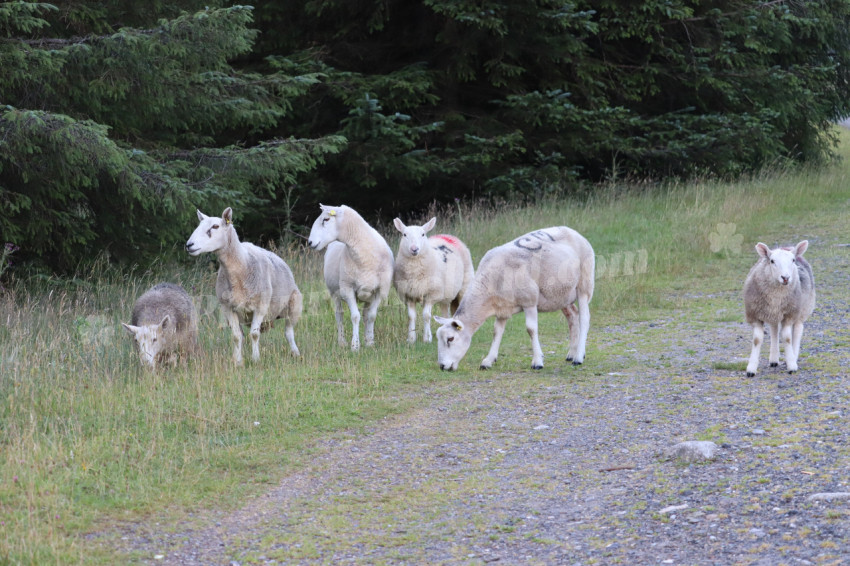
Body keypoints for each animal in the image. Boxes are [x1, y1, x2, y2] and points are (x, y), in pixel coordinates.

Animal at [185, 207, 302, 366]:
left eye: (215, 226)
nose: (189, 245)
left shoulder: (261, 306)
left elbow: (254, 334)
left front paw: (256, 359)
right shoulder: (227, 308)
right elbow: (236, 336)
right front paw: (237, 361)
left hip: (294, 304)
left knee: (289, 331)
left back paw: (295, 352)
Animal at [307, 204, 394, 351]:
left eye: (326, 219)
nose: (309, 242)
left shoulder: (379, 290)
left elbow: (371, 316)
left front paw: (370, 342)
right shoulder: (347, 289)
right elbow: (355, 317)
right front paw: (355, 345)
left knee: (365, 315)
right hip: (334, 292)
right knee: (339, 315)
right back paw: (342, 341)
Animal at [434, 226, 595, 371]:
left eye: (450, 339)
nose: (442, 366)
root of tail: (573, 231)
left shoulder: (530, 300)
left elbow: (531, 329)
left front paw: (537, 361)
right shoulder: (502, 307)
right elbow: (497, 332)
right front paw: (488, 360)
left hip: (584, 284)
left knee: (584, 318)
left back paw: (578, 357)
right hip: (561, 295)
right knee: (572, 316)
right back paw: (571, 353)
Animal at [743, 240, 815, 377]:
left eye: (793, 260)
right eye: (772, 261)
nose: (785, 278)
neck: (776, 295)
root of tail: (787, 247)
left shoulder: (789, 314)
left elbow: (787, 338)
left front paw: (791, 365)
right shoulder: (755, 315)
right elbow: (757, 340)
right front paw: (751, 369)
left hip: (802, 309)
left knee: (797, 330)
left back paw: (794, 356)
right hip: (773, 313)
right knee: (774, 329)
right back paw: (774, 359)